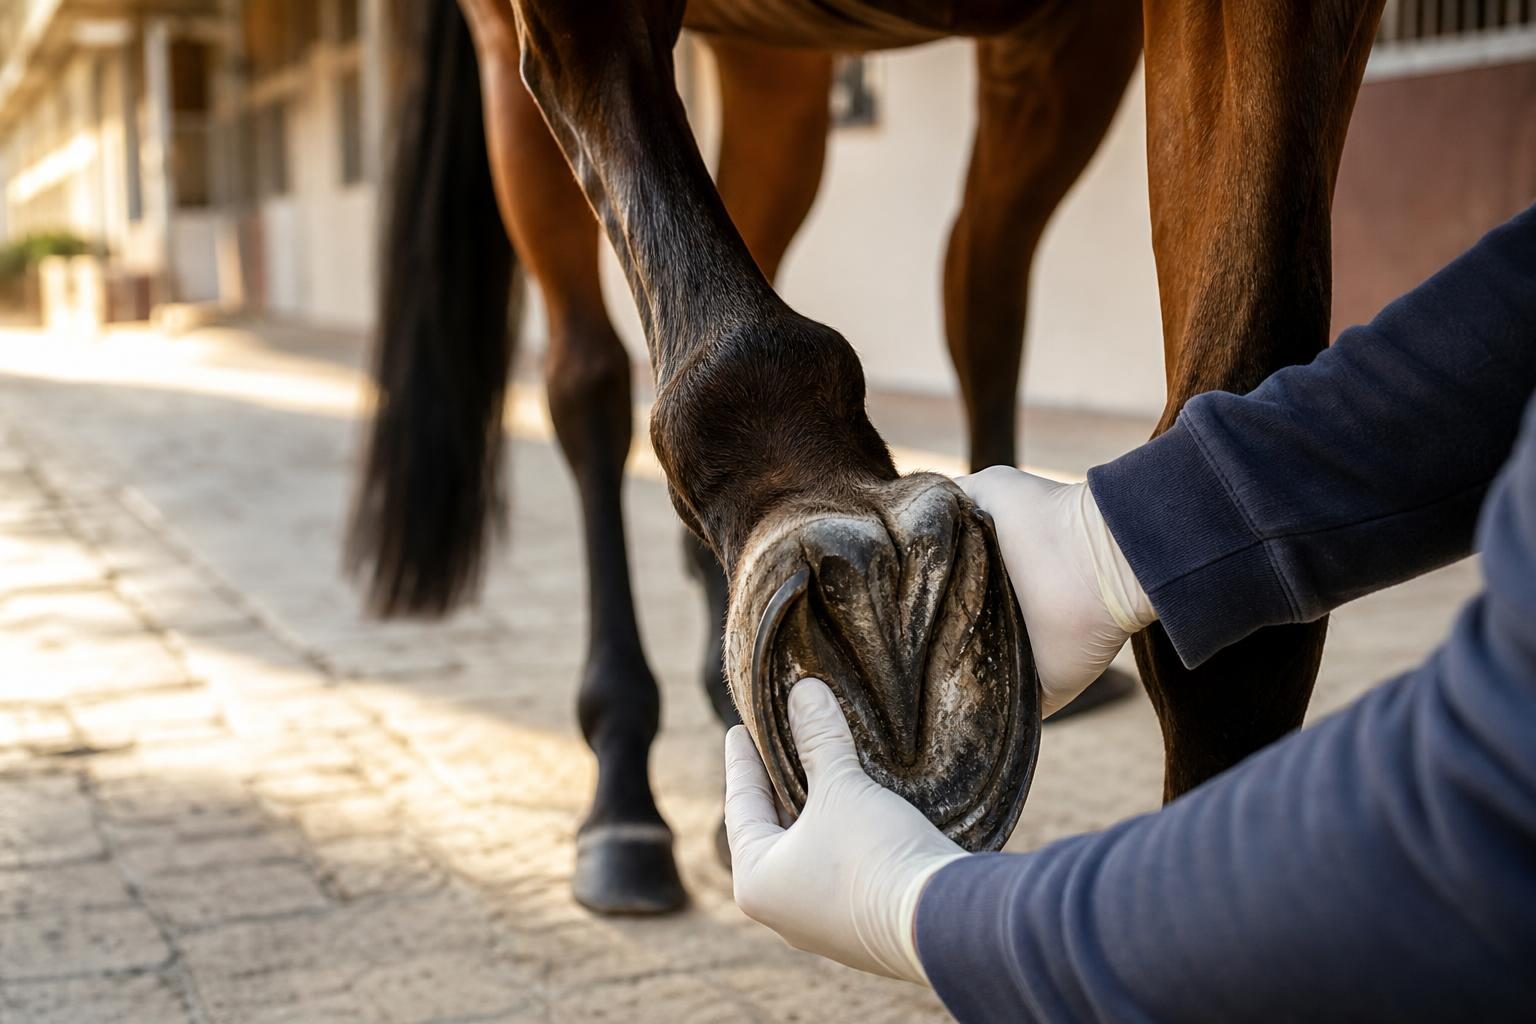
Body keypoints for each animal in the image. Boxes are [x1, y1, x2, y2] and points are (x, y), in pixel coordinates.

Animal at [349, 0, 1386, 915]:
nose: (892, 667)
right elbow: (726, 341)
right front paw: (835, 538)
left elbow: (1239, 485)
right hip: (515, 72)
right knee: (586, 381)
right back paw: (625, 804)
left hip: (789, 69)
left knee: (962, 281)